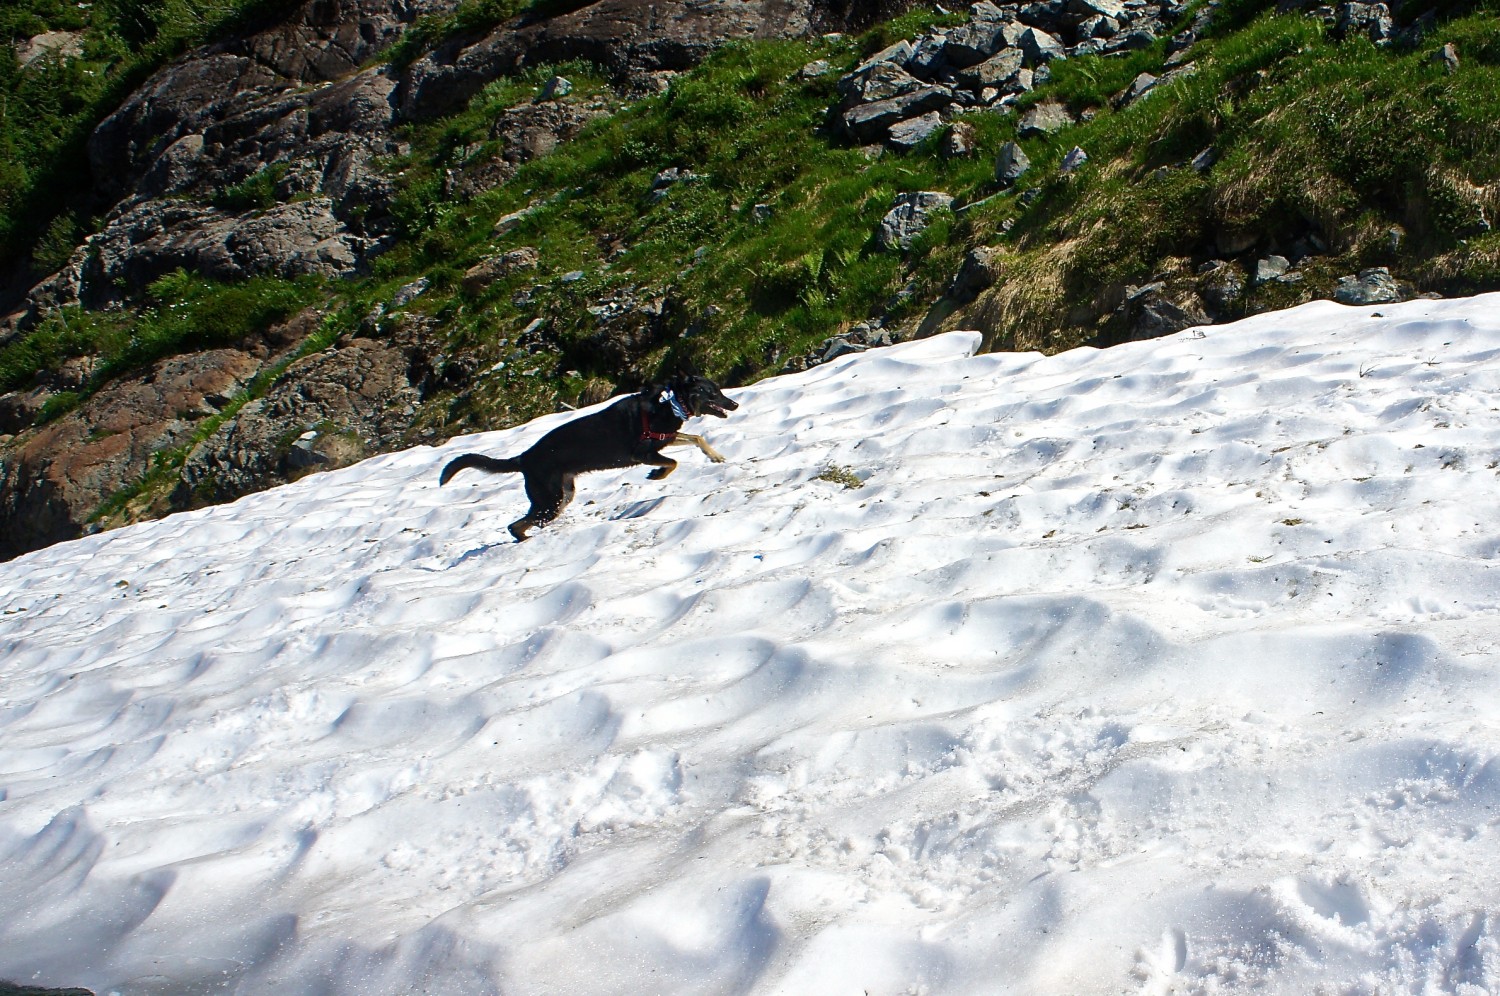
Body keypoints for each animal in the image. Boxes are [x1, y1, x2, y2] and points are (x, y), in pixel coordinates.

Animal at [438, 375, 741, 546]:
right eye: (713, 392)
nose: (735, 404)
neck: (669, 403)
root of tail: (523, 458)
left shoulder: (667, 438)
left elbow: (696, 438)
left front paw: (715, 455)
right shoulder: (642, 453)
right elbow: (672, 463)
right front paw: (657, 474)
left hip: (563, 495)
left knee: (521, 523)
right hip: (551, 500)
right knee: (516, 524)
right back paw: (525, 540)